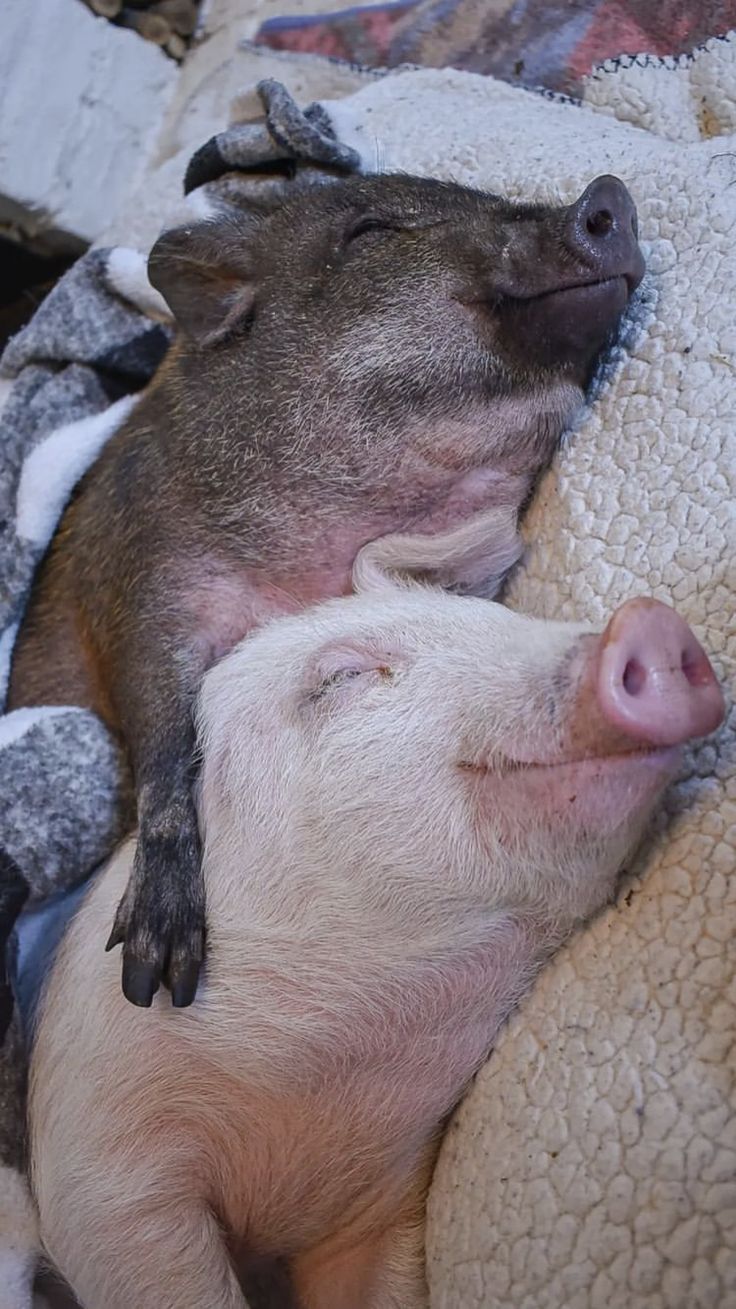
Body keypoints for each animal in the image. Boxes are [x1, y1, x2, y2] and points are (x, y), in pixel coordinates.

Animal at [28, 534, 722, 1309]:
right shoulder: (101, 1171)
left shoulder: (388, 1204)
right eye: (344, 677)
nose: (647, 624)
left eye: (492, 617)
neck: (310, 1091)